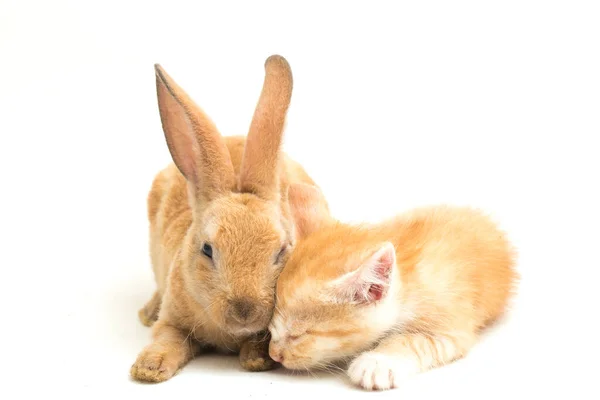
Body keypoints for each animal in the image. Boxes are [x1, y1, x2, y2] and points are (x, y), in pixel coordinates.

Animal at [129, 54, 332, 382]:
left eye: (282, 251)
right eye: (207, 249)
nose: (244, 311)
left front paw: (256, 359)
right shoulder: (172, 319)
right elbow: (168, 337)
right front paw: (149, 368)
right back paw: (147, 313)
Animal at [268, 187, 516, 390]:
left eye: (299, 335)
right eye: (271, 328)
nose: (274, 355)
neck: (407, 278)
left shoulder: (451, 325)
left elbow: (414, 340)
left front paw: (376, 362)